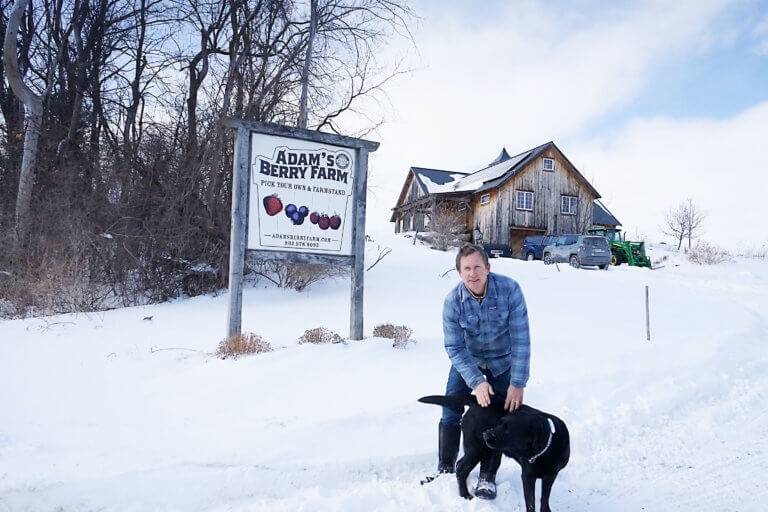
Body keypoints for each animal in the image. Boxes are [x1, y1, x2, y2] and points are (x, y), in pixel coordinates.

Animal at [420, 394, 568, 510]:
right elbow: (530, 502)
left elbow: (544, 498)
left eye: (508, 429)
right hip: (477, 448)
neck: (547, 449)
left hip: (481, 449)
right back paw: (465, 495)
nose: (485, 434)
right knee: (461, 468)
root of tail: (476, 402)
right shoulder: (527, 476)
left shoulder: (551, 476)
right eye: (500, 422)